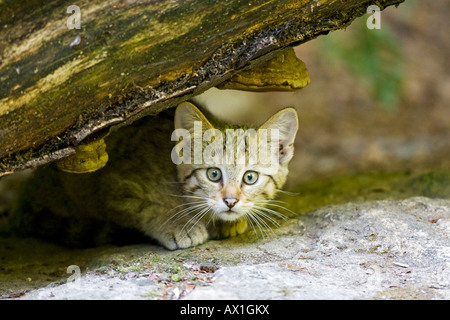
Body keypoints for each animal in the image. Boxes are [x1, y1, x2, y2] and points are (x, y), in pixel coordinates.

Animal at [8, 102, 298, 250]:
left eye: (250, 178)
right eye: (214, 174)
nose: (230, 201)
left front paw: (226, 221)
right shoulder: (112, 185)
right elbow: (146, 208)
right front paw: (178, 224)